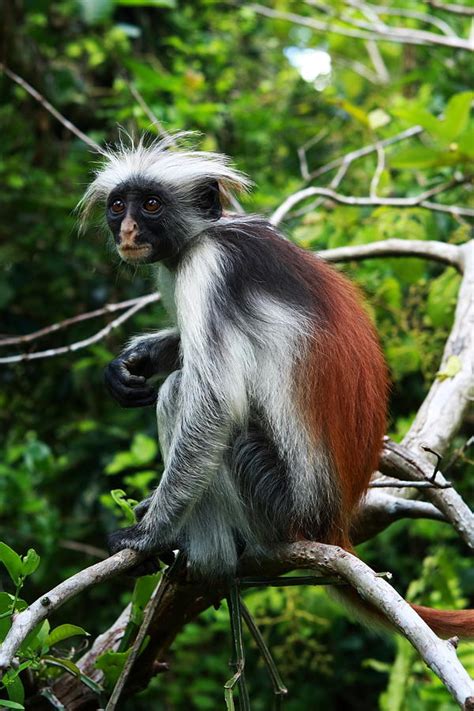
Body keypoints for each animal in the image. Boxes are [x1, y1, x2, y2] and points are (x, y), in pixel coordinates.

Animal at [80, 133, 474, 639]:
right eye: (117, 206)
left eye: (150, 204)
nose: (127, 230)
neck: (204, 235)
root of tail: (330, 525)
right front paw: (133, 361)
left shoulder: (210, 267)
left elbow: (214, 404)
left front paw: (149, 535)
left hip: (276, 503)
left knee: (184, 396)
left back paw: (208, 552)